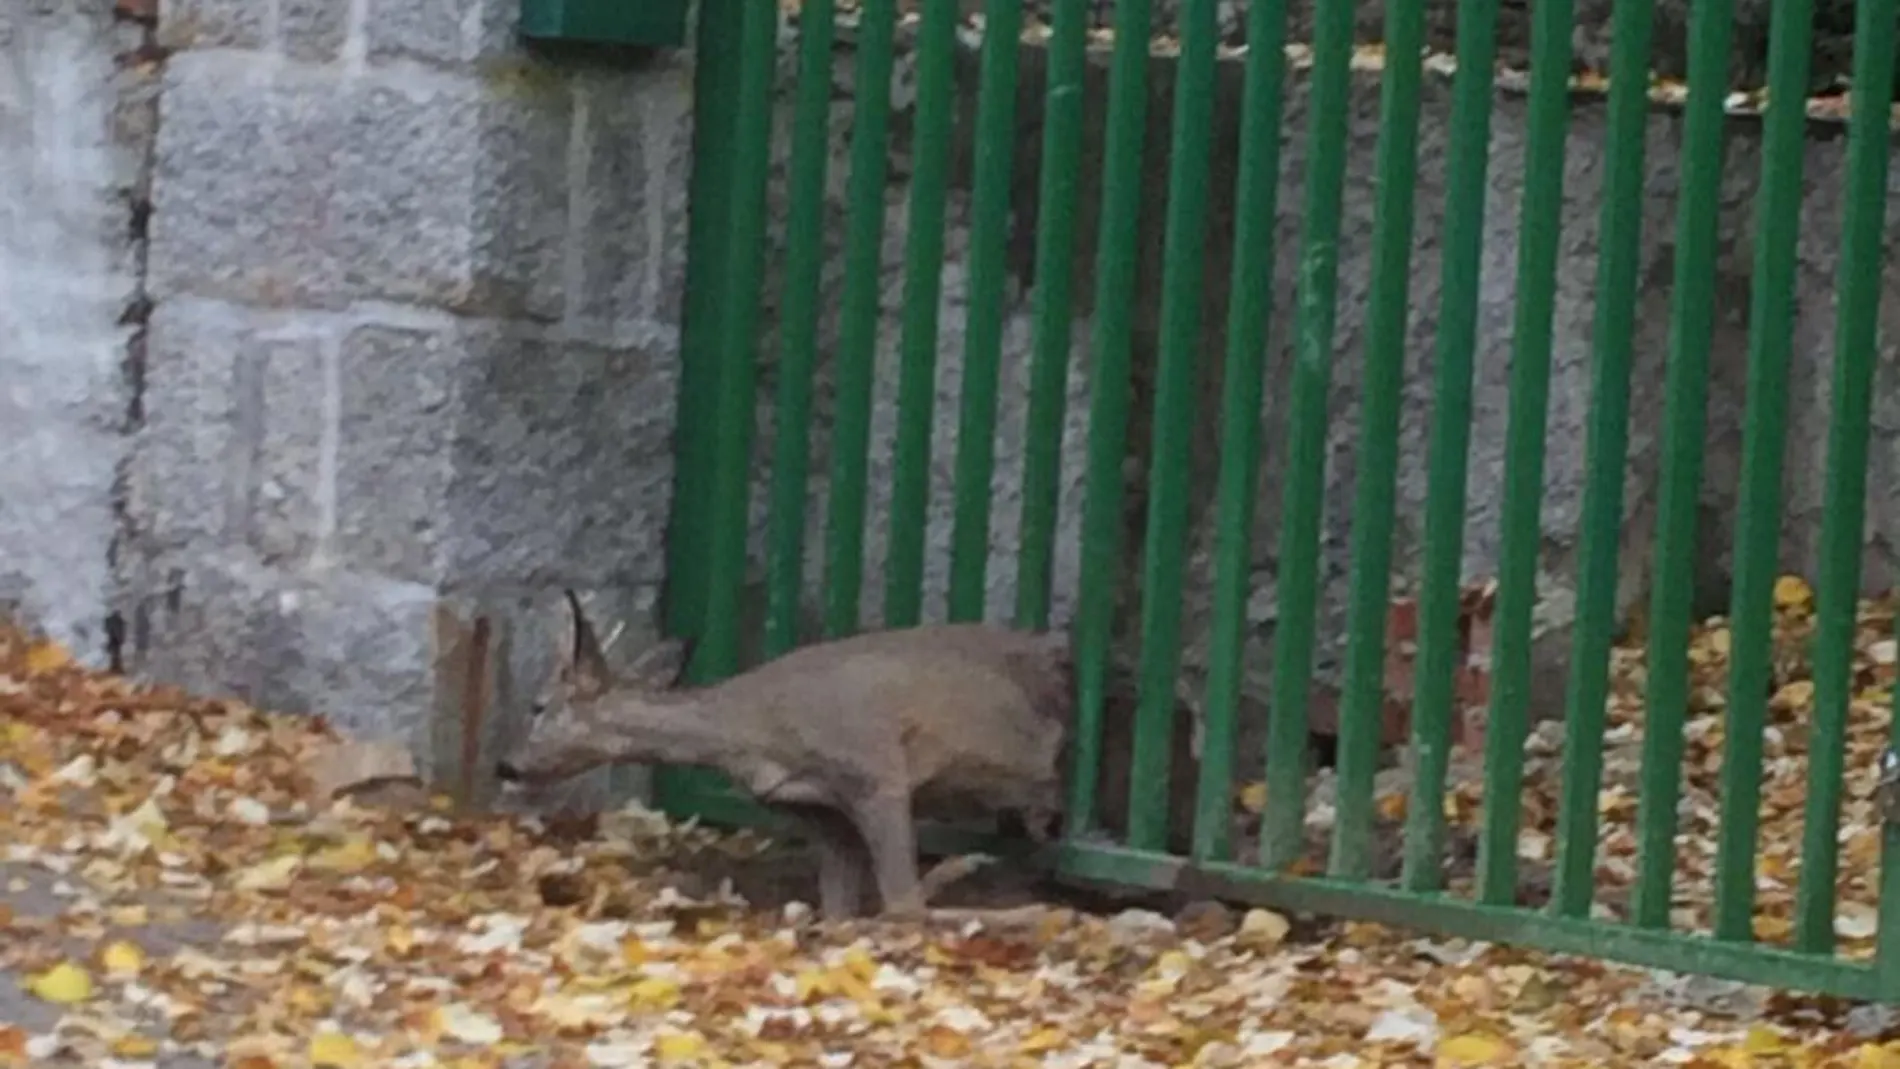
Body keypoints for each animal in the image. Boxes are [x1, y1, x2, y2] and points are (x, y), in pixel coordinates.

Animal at [497, 592, 1079, 918]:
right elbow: (839, 914)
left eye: (538, 705)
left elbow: (903, 904)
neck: (757, 731)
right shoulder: (818, 810)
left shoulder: (875, 769)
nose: (507, 765)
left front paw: (992, 889)